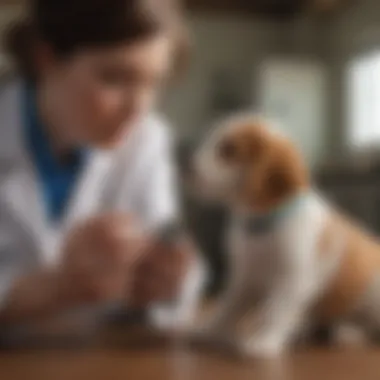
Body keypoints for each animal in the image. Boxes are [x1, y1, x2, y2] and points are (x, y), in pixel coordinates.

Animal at [189, 114, 380, 358]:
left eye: (228, 150)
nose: (188, 168)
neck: (262, 225)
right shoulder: (244, 280)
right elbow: (227, 308)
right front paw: (210, 330)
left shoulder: (293, 280)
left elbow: (275, 312)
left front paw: (263, 341)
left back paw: (346, 333)